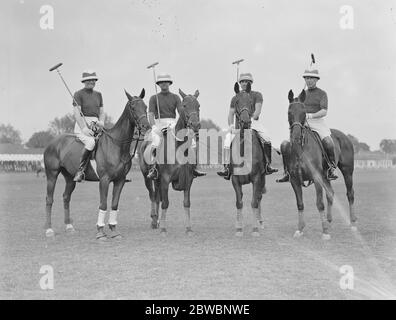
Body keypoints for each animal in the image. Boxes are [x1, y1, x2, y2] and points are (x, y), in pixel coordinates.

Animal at [43, 89, 151, 239]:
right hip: (52, 174)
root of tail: (52, 142)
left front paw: (114, 230)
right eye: (133, 107)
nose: (146, 126)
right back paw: (49, 229)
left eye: (145, 107)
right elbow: (103, 204)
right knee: (49, 199)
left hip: (70, 177)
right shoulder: (104, 180)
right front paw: (100, 231)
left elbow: (114, 204)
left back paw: (69, 227)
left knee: (66, 197)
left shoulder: (120, 180)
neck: (116, 145)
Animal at [139, 89, 201, 234]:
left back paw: (157, 221)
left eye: (198, 106)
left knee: (157, 197)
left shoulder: (188, 179)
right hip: (147, 177)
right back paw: (154, 221)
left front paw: (189, 228)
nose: (195, 125)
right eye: (184, 105)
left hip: (157, 180)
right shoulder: (165, 178)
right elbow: (165, 202)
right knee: (153, 196)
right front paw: (163, 228)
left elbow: (186, 203)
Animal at [282, 89, 356, 239]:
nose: (296, 137)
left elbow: (319, 203)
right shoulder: (294, 180)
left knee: (350, 193)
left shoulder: (316, 177)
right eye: (289, 112)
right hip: (326, 176)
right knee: (331, 193)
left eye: (304, 112)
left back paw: (352, 224)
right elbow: (300, 204)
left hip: (347, 171)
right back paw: (329, 221)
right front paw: (300, 229)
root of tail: (345, 136)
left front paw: (325, 232)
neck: (301, 149)